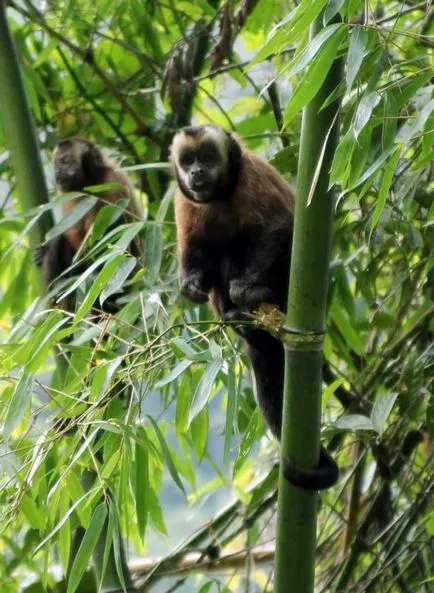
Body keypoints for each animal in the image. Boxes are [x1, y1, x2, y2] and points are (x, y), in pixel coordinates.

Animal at [34, 136, 142, 302]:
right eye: (56, 163)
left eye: (65, 161)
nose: (57, 171)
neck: (89, 184)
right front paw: (46, 248)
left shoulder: (111, 184)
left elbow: (108, 242)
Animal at [170, 125, 340, 490]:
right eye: (188, 160)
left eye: (207, 157)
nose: (196, 173)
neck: (220, 195)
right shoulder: (182, 199)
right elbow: (194, 251)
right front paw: (191, 283)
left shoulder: (252, 176)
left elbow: (278, 228)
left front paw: (248, 287)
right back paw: (237, 317)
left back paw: (254, 297)